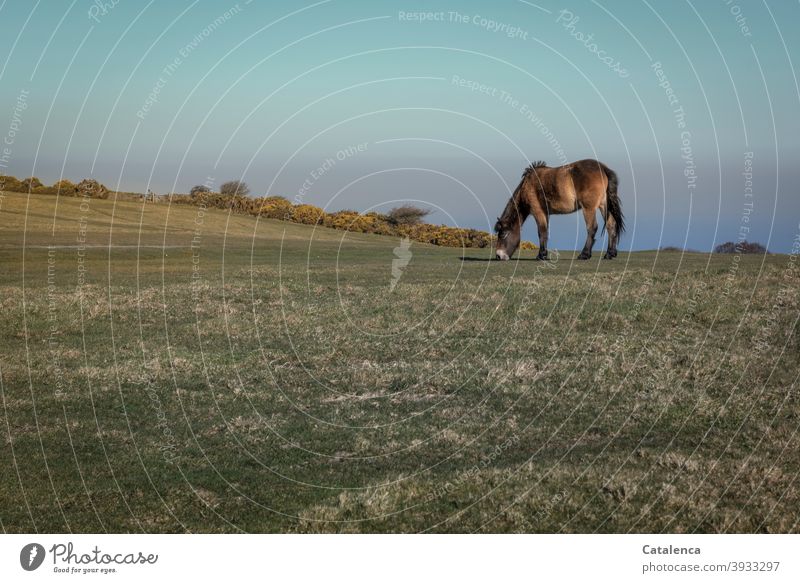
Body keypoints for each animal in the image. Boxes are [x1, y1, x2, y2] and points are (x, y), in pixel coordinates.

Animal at [494, 160, 624, 260]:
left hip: (589, 208)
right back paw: (609, 254)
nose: (498, 256)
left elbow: (541, 232)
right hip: (604, 206)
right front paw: (544, 254)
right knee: (611, 226)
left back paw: (584, 254)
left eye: (503, 234)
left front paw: (541, 255)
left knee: (592, 228)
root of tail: (602, 168)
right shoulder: (545, 213)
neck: (528, 185)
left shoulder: (538, 212)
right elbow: (545, 232)